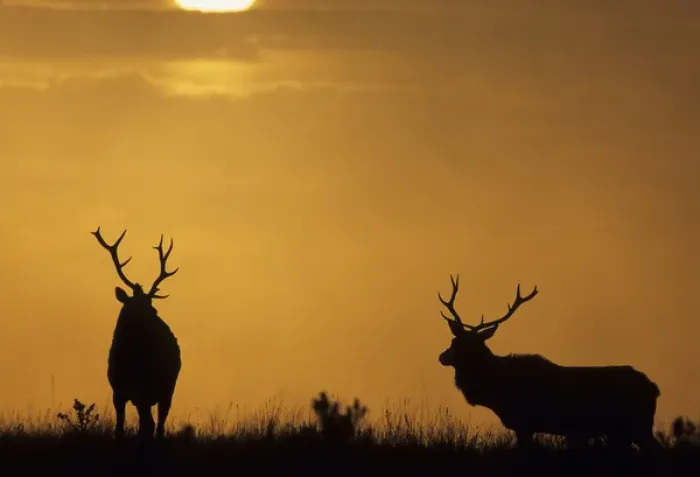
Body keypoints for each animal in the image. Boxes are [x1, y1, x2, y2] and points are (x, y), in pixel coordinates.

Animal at [92, 226, 182, 440]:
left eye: (152, 307)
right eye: (136, 306)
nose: (157, 321)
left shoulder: (144, 391)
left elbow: (147, 425)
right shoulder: (118, 390)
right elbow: (120, 426)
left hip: (167, 388)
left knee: (158, 423)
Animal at [436, 274, 662, 453]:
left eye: (467, 345)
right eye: (454, 340)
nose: (442, 356)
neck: (497, 393)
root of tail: (654, 388)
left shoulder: (524, 422)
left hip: (637, 423)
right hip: (622, 430)